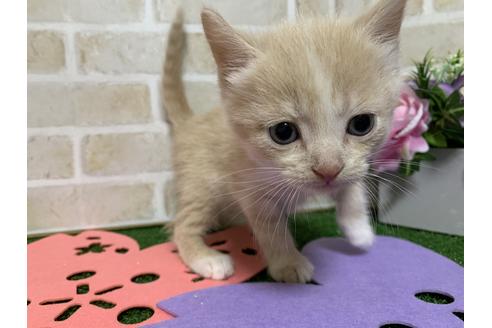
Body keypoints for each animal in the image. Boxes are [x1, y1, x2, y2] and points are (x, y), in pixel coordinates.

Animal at [163, 0, 406, 282]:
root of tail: (189, 122)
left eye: (361, 124)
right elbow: (271, 229)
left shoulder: (354, 164)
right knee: (182, 224)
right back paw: (206, 259)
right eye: (283, 132)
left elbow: (351, 185)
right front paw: (288, 262)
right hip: (201, 185)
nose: (328, 170)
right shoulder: (250, 189)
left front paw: (359, 229)